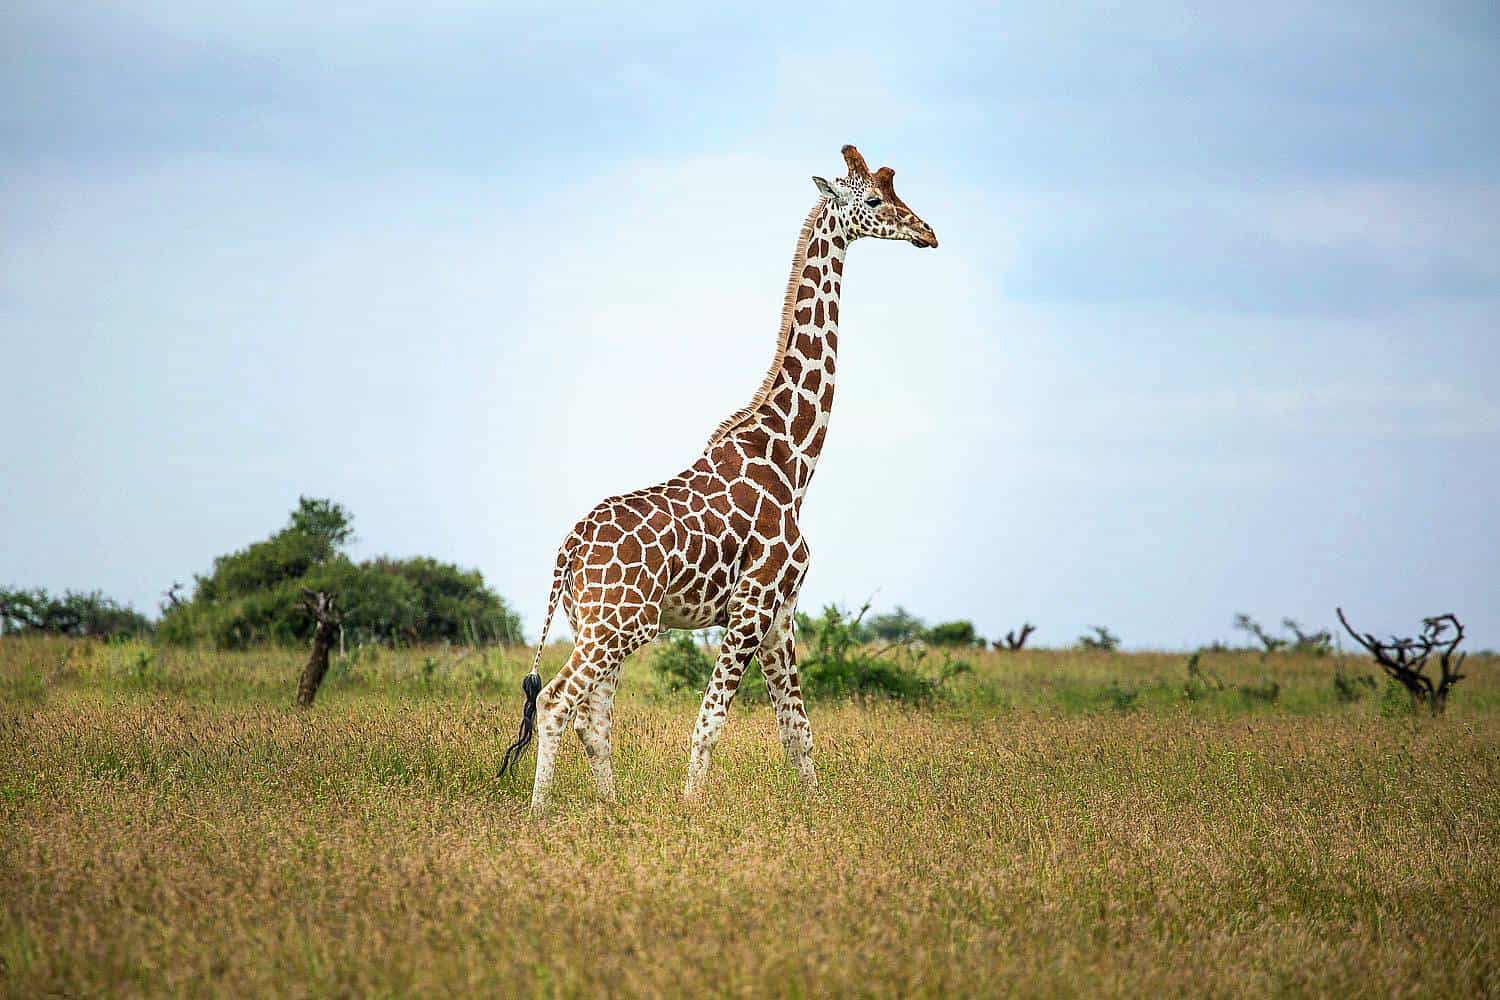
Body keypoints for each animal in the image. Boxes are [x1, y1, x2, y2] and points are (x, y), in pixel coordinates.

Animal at [504, 144, 942, 809]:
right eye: (872, 199)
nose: (927, 232)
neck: (794, 460)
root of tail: (567, 553)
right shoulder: (752, 606)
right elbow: (709, 723)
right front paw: (692, 811)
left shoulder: (781, 614)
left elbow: (798, 731)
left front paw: (816, 810)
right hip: (618, 625)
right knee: (557, 703)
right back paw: (540, 814)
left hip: (600, 624)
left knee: (592, 718)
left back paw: (609, 808)